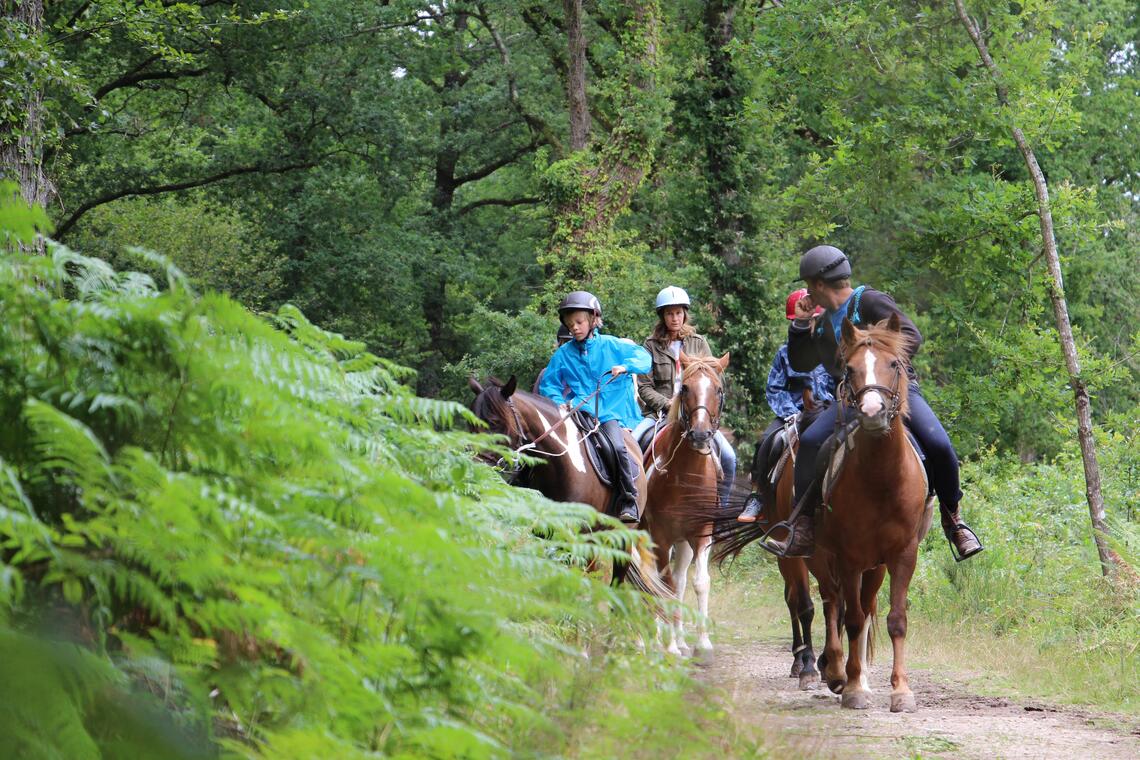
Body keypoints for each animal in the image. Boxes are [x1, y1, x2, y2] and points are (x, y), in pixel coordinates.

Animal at [469, 373, 670, 601]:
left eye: (494, 423)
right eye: (470, 423)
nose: (477, 467)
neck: (560, 464)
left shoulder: (574, 533)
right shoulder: (546, 529)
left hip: (623, 536)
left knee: (616, 577)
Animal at [642, 353, 729, 656]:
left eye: (718, 390)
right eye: (685, 388)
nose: (700, 435)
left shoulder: (701, 534)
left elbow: (699, 583)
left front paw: (702, 644)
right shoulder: (660, 536)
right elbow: (663, 585)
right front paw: (668, 647)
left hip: (683, 542)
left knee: (678, 580)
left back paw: (677, 638)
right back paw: (652, 640)